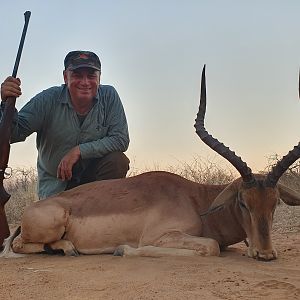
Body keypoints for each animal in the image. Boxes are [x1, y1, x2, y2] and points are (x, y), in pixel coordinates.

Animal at [1, 66, 298, 260]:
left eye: (275, 203)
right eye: (243, 202)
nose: (265, 253)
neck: (196, 201)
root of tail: (34, 208)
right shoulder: (160, 236)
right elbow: (211, 246)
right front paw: (122, 249)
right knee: (17, 245)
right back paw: (67, 248)